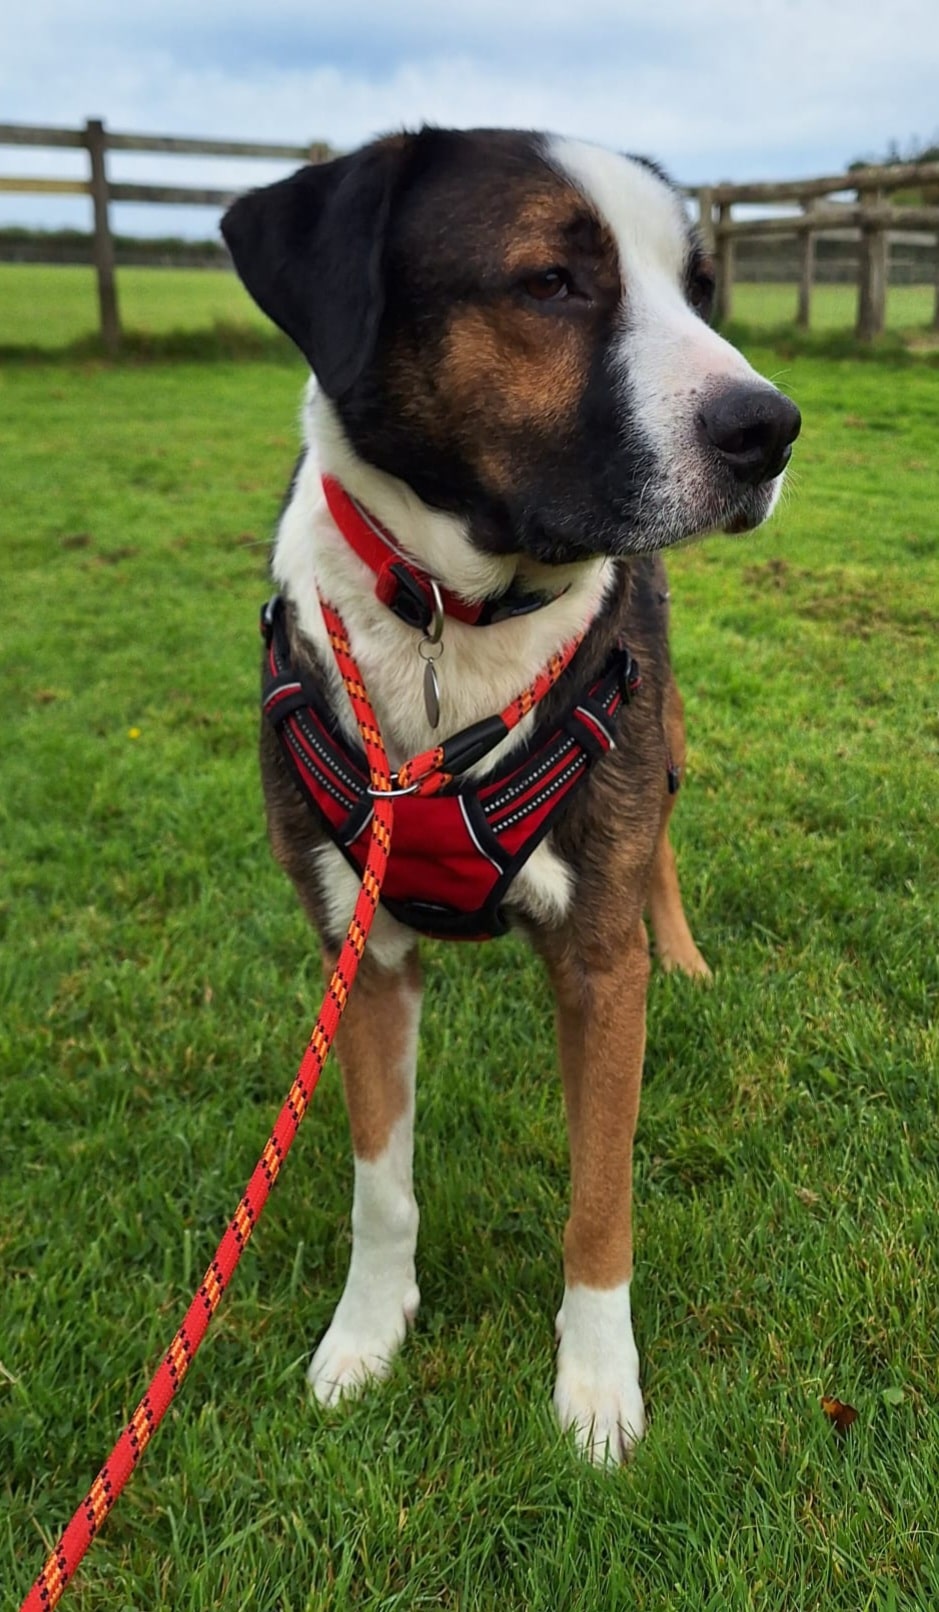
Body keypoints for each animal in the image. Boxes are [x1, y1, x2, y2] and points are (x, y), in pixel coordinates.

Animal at [222, 128, 802, 1463]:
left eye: (699, 289)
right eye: (550, 281)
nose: (774, 427)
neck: (456, 612)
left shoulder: (596, 956)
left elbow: (601, 1193)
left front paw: (595, 1385)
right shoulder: (362, 955)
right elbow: (380, 1183)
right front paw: (365, 1335)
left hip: (663, 730)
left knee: (664, 847)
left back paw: (685, 954)